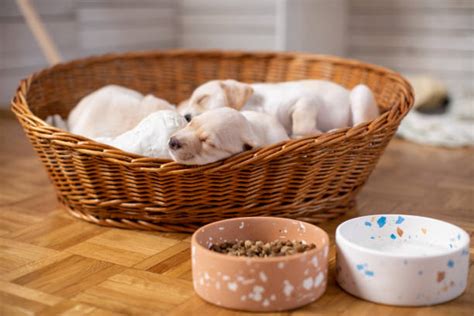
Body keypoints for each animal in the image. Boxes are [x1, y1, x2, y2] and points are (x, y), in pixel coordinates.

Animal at [180, 79, 380, 137]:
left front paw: (318, 133)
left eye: (202, 98)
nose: (186, 117)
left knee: (361, 123)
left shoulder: (305, 101)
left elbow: (301, 127)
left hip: (361, 93)